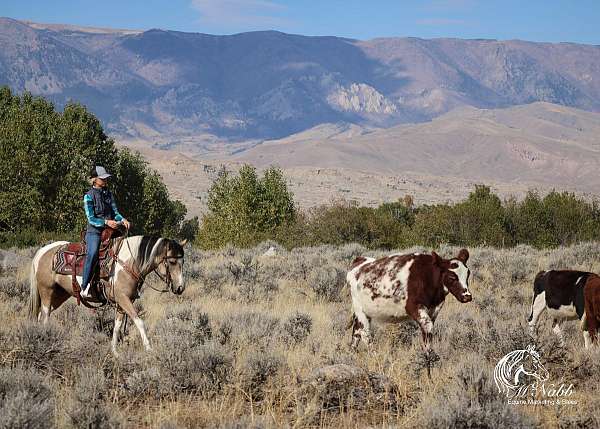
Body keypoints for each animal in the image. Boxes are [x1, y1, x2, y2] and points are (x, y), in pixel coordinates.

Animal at [28, 234, 186, 354]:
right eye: (172, 261)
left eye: (183, 261)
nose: (180, 288)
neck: (129, 263)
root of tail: (42, 252)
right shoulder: (123, 299)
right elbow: (139, 322)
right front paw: (149, 349)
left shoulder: (123, 303)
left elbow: (117, 326)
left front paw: (114, 351)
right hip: (47, 291)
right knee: (45, 316)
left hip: (60, 295)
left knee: (41, 315)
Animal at [346, 247, 474, 348]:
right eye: (452, 277)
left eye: (468, 274)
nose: (467, 296)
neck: (427, 277)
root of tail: (360, 261)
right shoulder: (414, 307)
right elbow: (428, 327)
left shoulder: (434, 310)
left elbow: (428, 336)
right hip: (360, 310)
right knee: (365, 335)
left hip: (365, 313)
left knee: (356, 333)